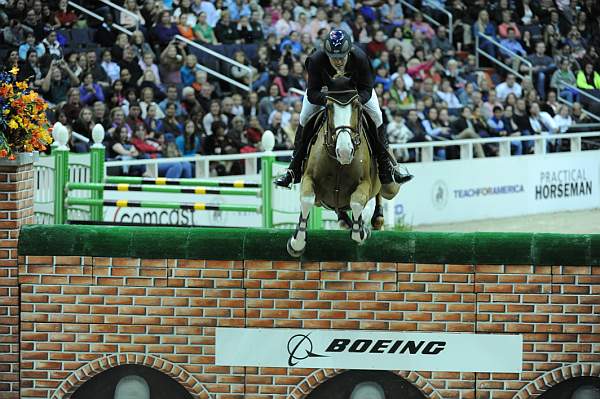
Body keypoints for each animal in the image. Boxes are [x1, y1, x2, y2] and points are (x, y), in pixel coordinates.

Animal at [288, 88, 400, 258]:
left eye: (357, 107)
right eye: (328, 108)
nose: (345, 152)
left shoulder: (365, 183)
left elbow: (357, 201)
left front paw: (361, 232)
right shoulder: (309, 179)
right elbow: (307, 199)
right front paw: (297, 243)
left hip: (391, 188)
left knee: (382, 192)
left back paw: (377, 218)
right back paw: (345, 220)